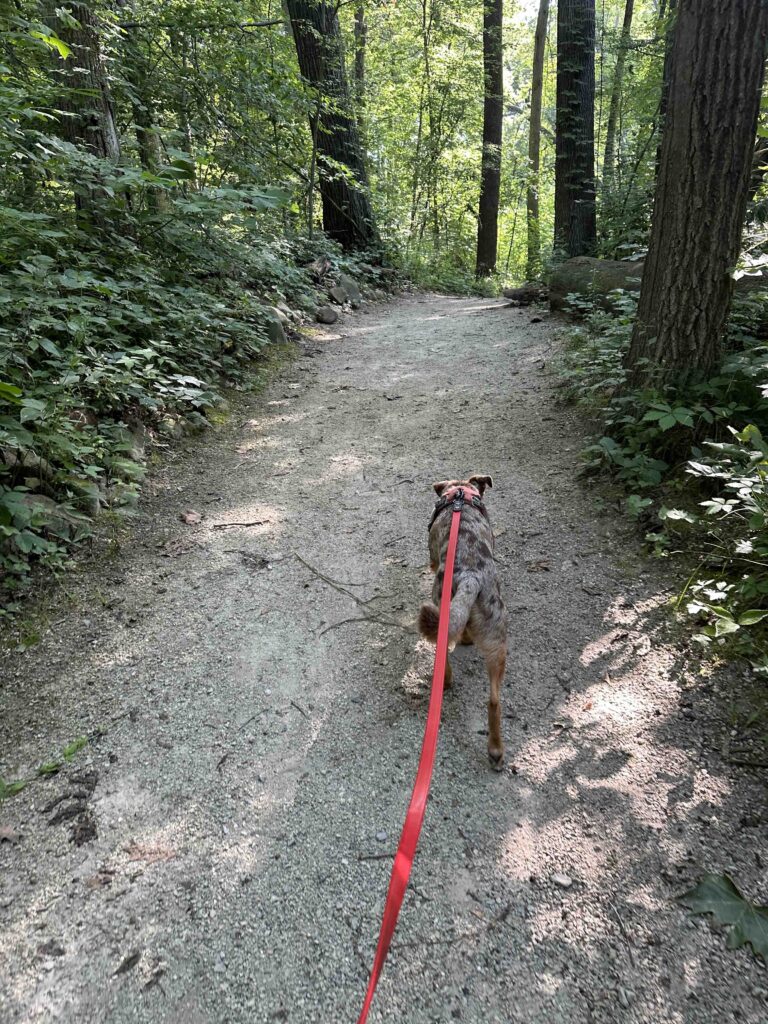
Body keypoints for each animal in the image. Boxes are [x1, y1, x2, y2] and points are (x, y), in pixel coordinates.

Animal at [417, 471, 507, 770]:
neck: (460, 494)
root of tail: (471, 577)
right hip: (496, 642)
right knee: (494, 701)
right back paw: (496, 750)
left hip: (441, 606)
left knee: (443, 655)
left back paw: (445, 681)